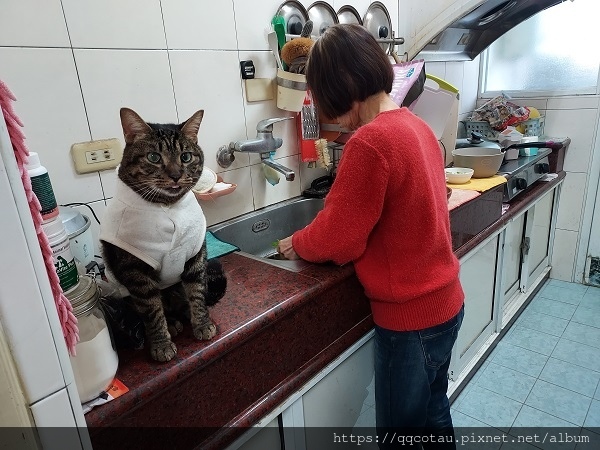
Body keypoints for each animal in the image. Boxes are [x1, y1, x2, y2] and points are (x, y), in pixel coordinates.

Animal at [98, 108, 225, 362]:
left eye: (186, 157)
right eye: (154, 157)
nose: (176, 175)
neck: (166, 206)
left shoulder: (195, 256)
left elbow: (197, 293)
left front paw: (202, 323)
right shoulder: (135, 272)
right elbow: (152, 311)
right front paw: (161, 345)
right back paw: (172, 323)